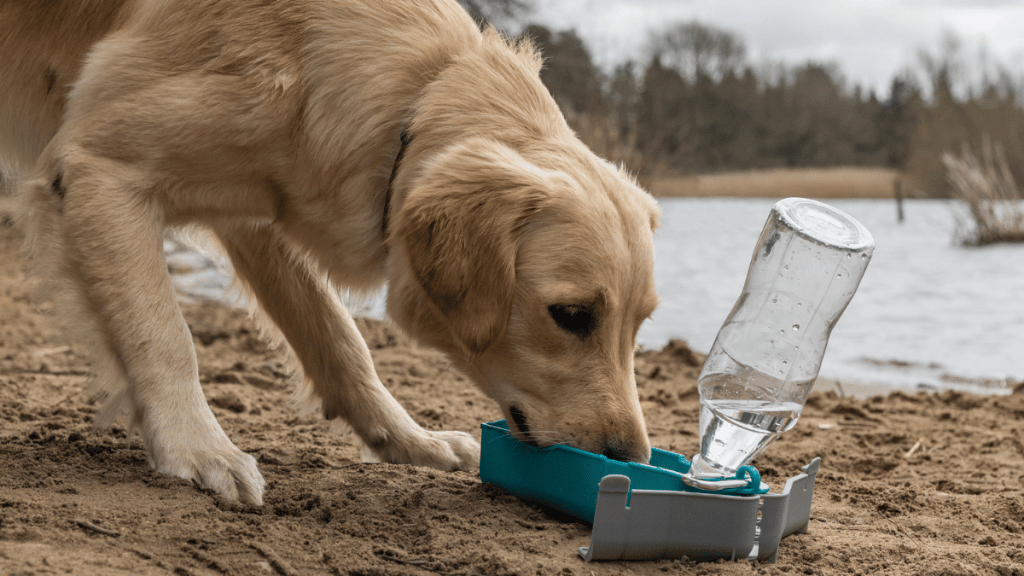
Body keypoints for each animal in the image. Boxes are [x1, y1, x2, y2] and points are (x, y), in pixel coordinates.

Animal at [0, 0, 655, 502]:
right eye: (571, 316)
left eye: (641, 325)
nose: (629, 460)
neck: (412, 98)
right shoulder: (99, 169)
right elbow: (163, 336)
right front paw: (198, 448)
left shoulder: (260, 211)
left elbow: (339, 338)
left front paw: (407, 440)